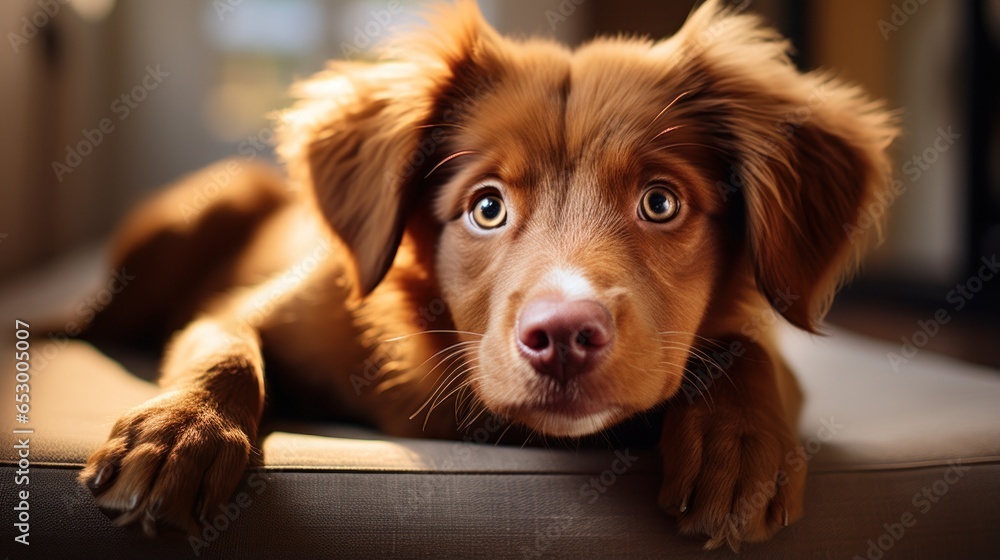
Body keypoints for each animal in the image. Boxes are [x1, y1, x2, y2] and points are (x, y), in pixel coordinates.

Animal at [80, 1, 900, 552]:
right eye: (486, 207)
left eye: (660, 202)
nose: (564, 335)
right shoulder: (254, 307)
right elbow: (222, 349)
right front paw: (177, 434)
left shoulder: (759, 331)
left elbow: (748, 353)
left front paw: (740, 446)